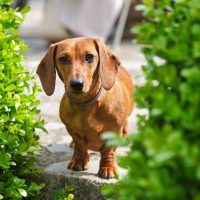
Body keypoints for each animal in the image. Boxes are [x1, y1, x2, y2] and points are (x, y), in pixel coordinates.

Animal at [37, 38, 134, 179]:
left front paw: (107, 167)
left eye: (89, 57)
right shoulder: (72, 130)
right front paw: (79, 161)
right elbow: (80, 145)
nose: (77, 84)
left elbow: (108, 151)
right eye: (63, 59)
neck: (86, 105)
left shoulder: (114, 129)